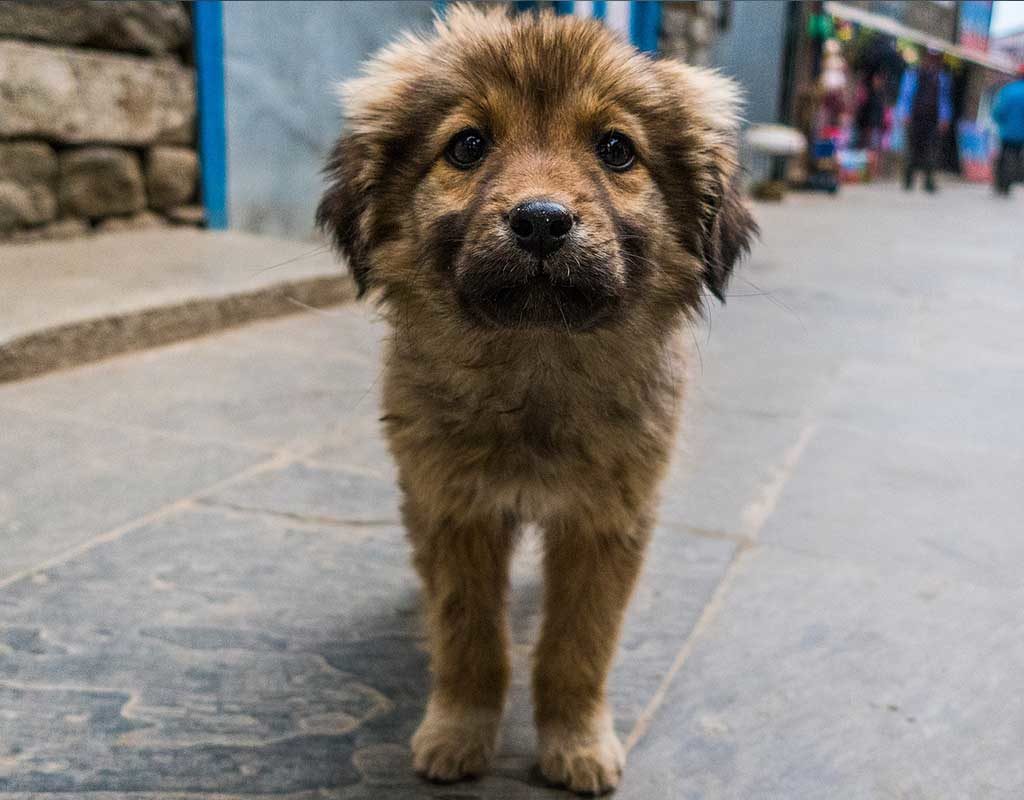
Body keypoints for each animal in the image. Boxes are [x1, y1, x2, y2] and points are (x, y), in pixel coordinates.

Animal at [315, 4, 757, 790]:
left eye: (616, 149)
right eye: (467, 145)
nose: (543, 221)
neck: (535, 369)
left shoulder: (607, 520)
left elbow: (577, 648)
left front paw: (575, 742)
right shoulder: (455, 507)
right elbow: (470, 638)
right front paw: (459, 732)